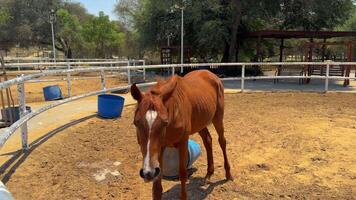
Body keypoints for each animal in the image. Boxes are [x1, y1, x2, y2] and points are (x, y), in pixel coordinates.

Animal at [131, 69, 234, 199]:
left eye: (165, 122)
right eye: (136, 123)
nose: (148, 173)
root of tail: (211, 74)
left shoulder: (183, 142)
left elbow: (183, 172)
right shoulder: (160, 148)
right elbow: (157, 185)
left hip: (218, 118)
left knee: (222, 142)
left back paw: (228, 175)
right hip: (200, 123)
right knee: (208, 141)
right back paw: (208, 174)